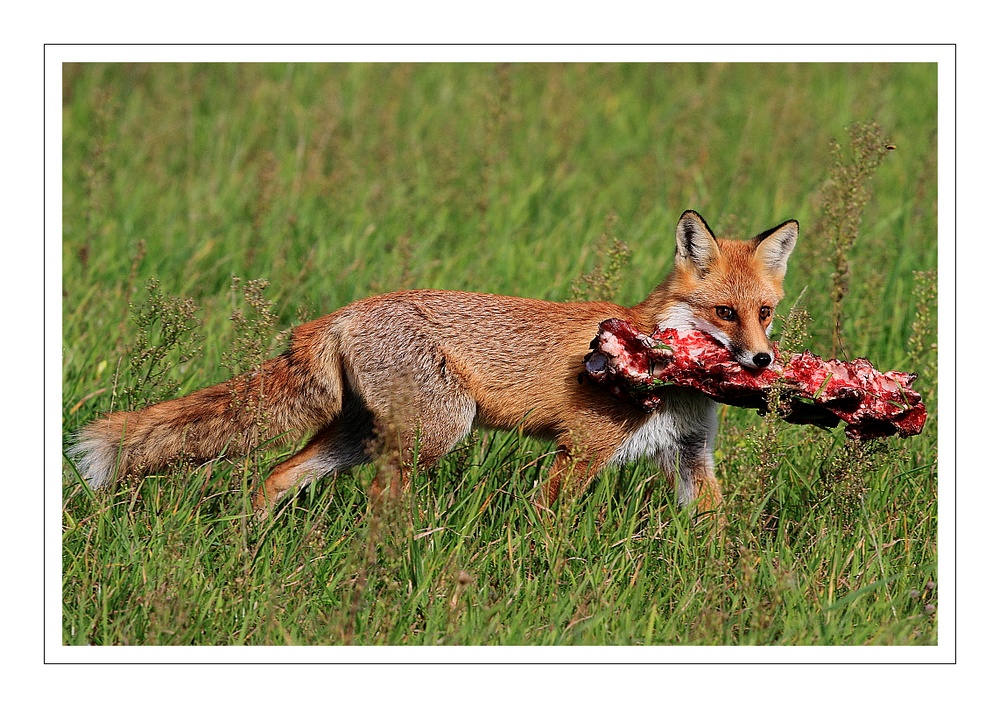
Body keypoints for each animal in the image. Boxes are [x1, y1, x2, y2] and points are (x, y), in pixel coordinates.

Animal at [70, 210, 796, 520]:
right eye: (725, 313)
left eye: (765, 312)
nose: (763, 359)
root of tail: (347, 310)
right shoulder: (582, 451)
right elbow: (551, 529)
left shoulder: (691, 456)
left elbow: (717, 530)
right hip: (440, 430)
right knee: (377, 496)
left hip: (367, 433)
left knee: (278, 474)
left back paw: (251, 544)